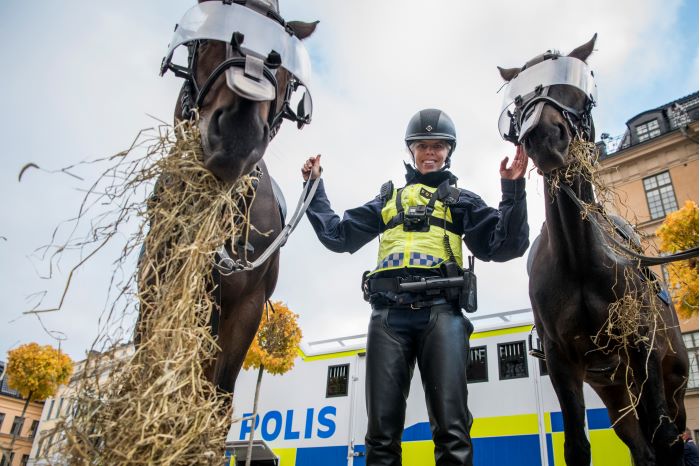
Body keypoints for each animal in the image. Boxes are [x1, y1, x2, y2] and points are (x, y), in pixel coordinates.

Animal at [498, 36, 688, 466]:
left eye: (574, 83)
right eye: (518, 100)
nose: (544, 136)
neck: (578, 256)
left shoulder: (641, 347)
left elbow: (665, 436)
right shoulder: (561, 361)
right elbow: (576, 446)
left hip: (671, 381)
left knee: (669, 434)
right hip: (616, 392)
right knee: (641, 448)